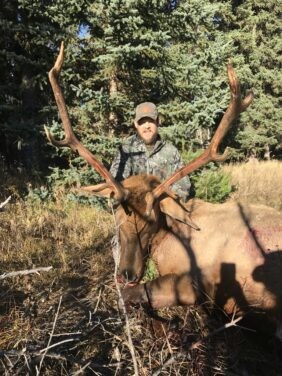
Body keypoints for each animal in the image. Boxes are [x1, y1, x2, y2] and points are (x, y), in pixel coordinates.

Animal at [45, 43, 280, 334]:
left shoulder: (197, 284)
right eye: (117, 215)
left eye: (151, 220)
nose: (127, 274)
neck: (170, 235)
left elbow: (132, 295)